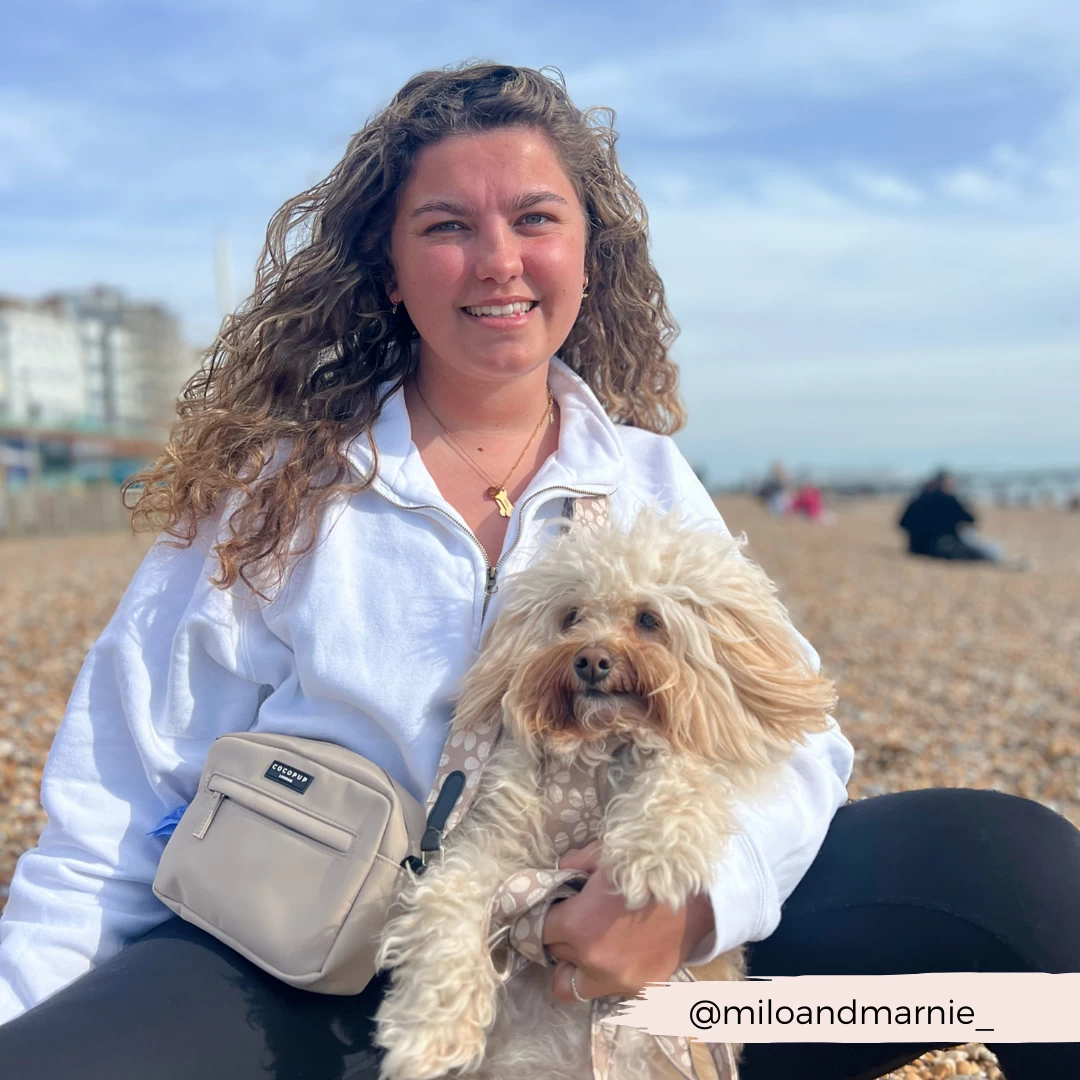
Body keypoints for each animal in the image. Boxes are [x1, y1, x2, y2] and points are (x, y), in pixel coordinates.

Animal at [373, 510, 837, 1080]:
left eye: (648, 619)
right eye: (571, 616)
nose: (591, 660)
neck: (591, 753)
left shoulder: (686, 755)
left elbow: (682, 769)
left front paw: (650, 857)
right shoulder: (490, 852)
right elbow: (445, 907)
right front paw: (429, 1033)